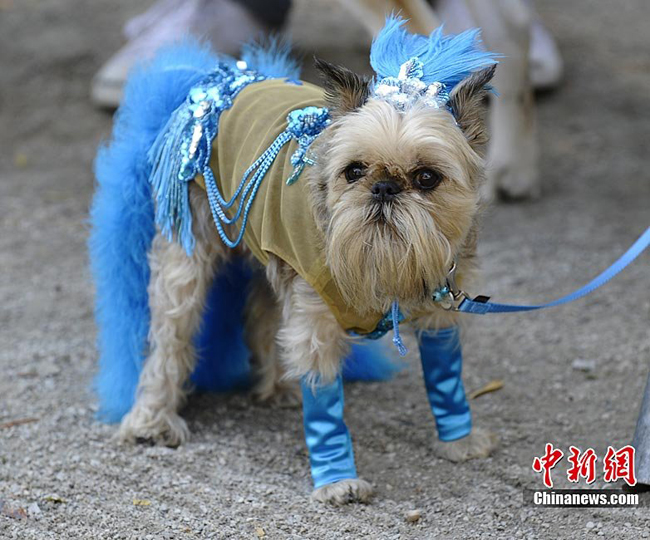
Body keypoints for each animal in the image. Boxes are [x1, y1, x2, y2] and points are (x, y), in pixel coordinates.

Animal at [91, 17, 496, 506]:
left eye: (426, 178)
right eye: (354, 171)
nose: (383, 188)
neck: (382, 263)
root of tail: (215, 83)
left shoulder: (440, 314)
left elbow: (446, 380)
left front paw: (459, 441)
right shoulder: (316, 325)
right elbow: (325, 406)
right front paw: (338, 480)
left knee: (261, 316)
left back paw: (280, 385)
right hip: (183, 266)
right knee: (170, 340)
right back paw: (150, 418)